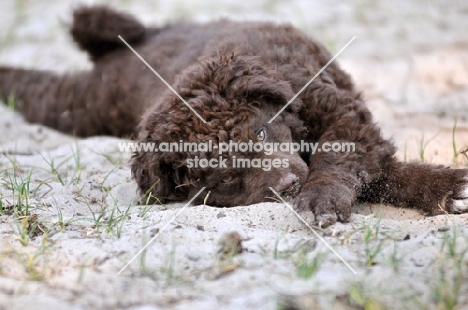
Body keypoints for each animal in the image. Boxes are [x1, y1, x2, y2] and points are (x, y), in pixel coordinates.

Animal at [0, 4, 468, 226]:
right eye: (225, 178)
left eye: (260, 134)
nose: (288, 185)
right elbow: (371, 172)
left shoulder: (342, 114)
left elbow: (349, 163)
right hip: (88, 107)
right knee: (43, 93)